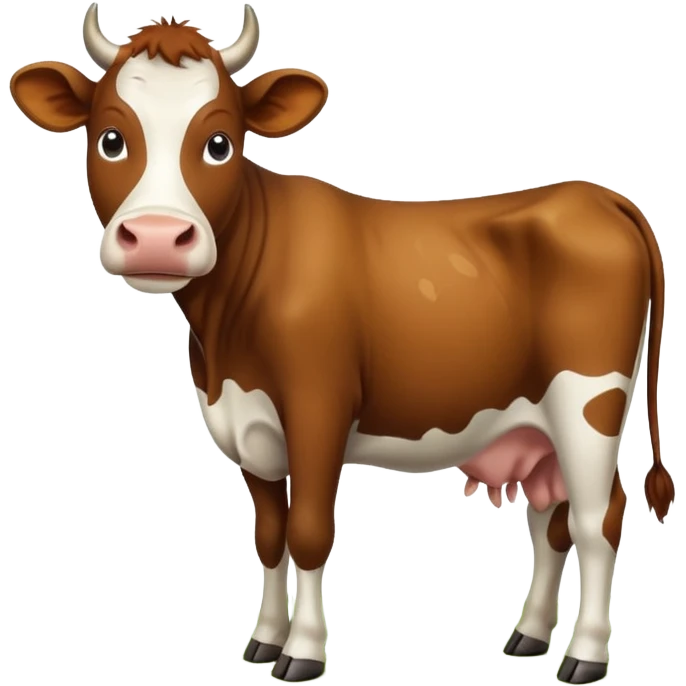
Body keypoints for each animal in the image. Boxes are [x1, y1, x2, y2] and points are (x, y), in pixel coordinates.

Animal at [9, 3, 674, 684]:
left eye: (220, 143)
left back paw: (585, 654)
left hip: (587, 404)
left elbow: (307, 532)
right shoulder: (248, 427)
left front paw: (302, 652)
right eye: (110, 138)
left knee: (598, 519)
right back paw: (530, 635)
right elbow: (269, 536)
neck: (224, 339)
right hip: (536, 427)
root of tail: (597, 195)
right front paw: (264, 641)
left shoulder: (317, 408)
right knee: (550, 520)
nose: (158, 237)